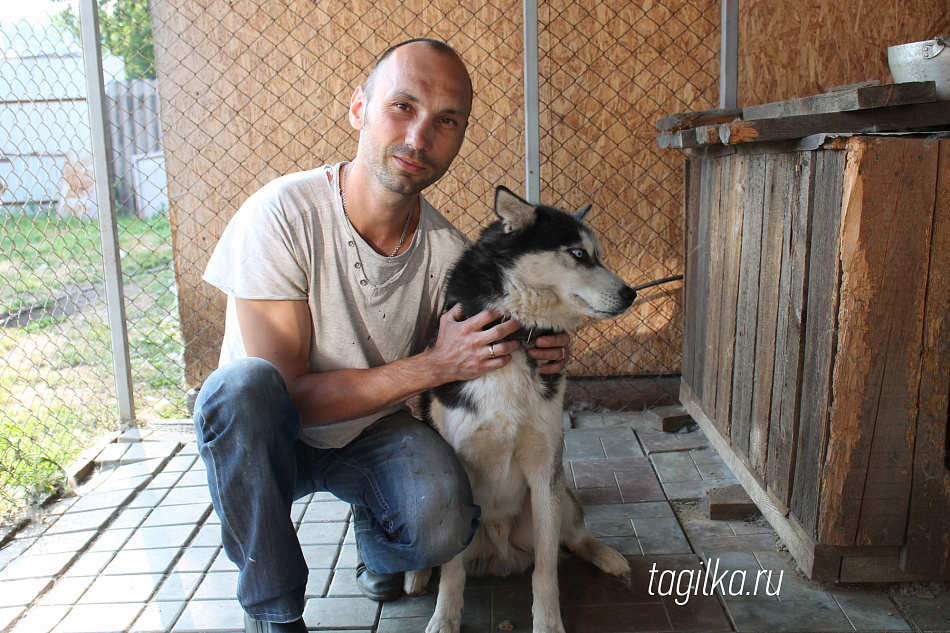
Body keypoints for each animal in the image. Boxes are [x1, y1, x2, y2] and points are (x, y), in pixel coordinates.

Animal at [410, 186, 640, 632]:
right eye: (578, 254)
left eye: (599, 254)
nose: (631, 293)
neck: (517, 334)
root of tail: (500, 553)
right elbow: (452, 571)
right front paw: (445, 618)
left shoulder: (544, 470)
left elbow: (547, 568)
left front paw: (548, 622)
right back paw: (416, 572)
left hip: (556, 497)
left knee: (574, 536)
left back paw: (607, 556)